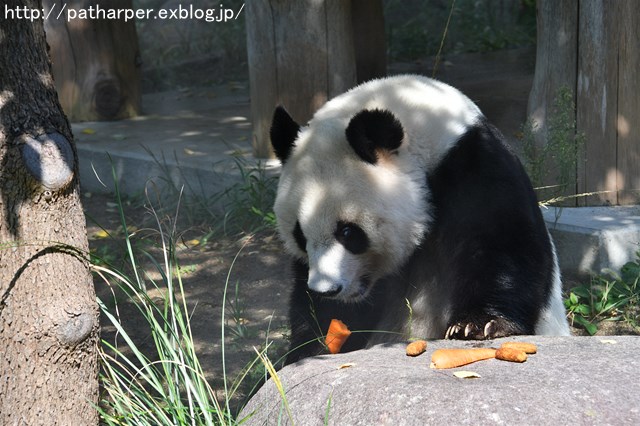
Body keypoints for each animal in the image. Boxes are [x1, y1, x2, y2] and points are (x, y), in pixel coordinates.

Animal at [270, 75, 568, 364]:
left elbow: (502, 241)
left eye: (347, 232)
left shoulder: (476, 164)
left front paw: (480, 324)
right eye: (299, 236)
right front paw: (313, 344)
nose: (326, 290)